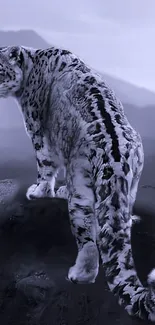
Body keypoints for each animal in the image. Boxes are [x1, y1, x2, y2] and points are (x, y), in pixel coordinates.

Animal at [0, 44, 154, 320]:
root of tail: (115, 156)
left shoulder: (37, 130)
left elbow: (44, 164)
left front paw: (38, 191)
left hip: (81, 184)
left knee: (88, 237)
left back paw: (79, 273)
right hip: (133, 178)